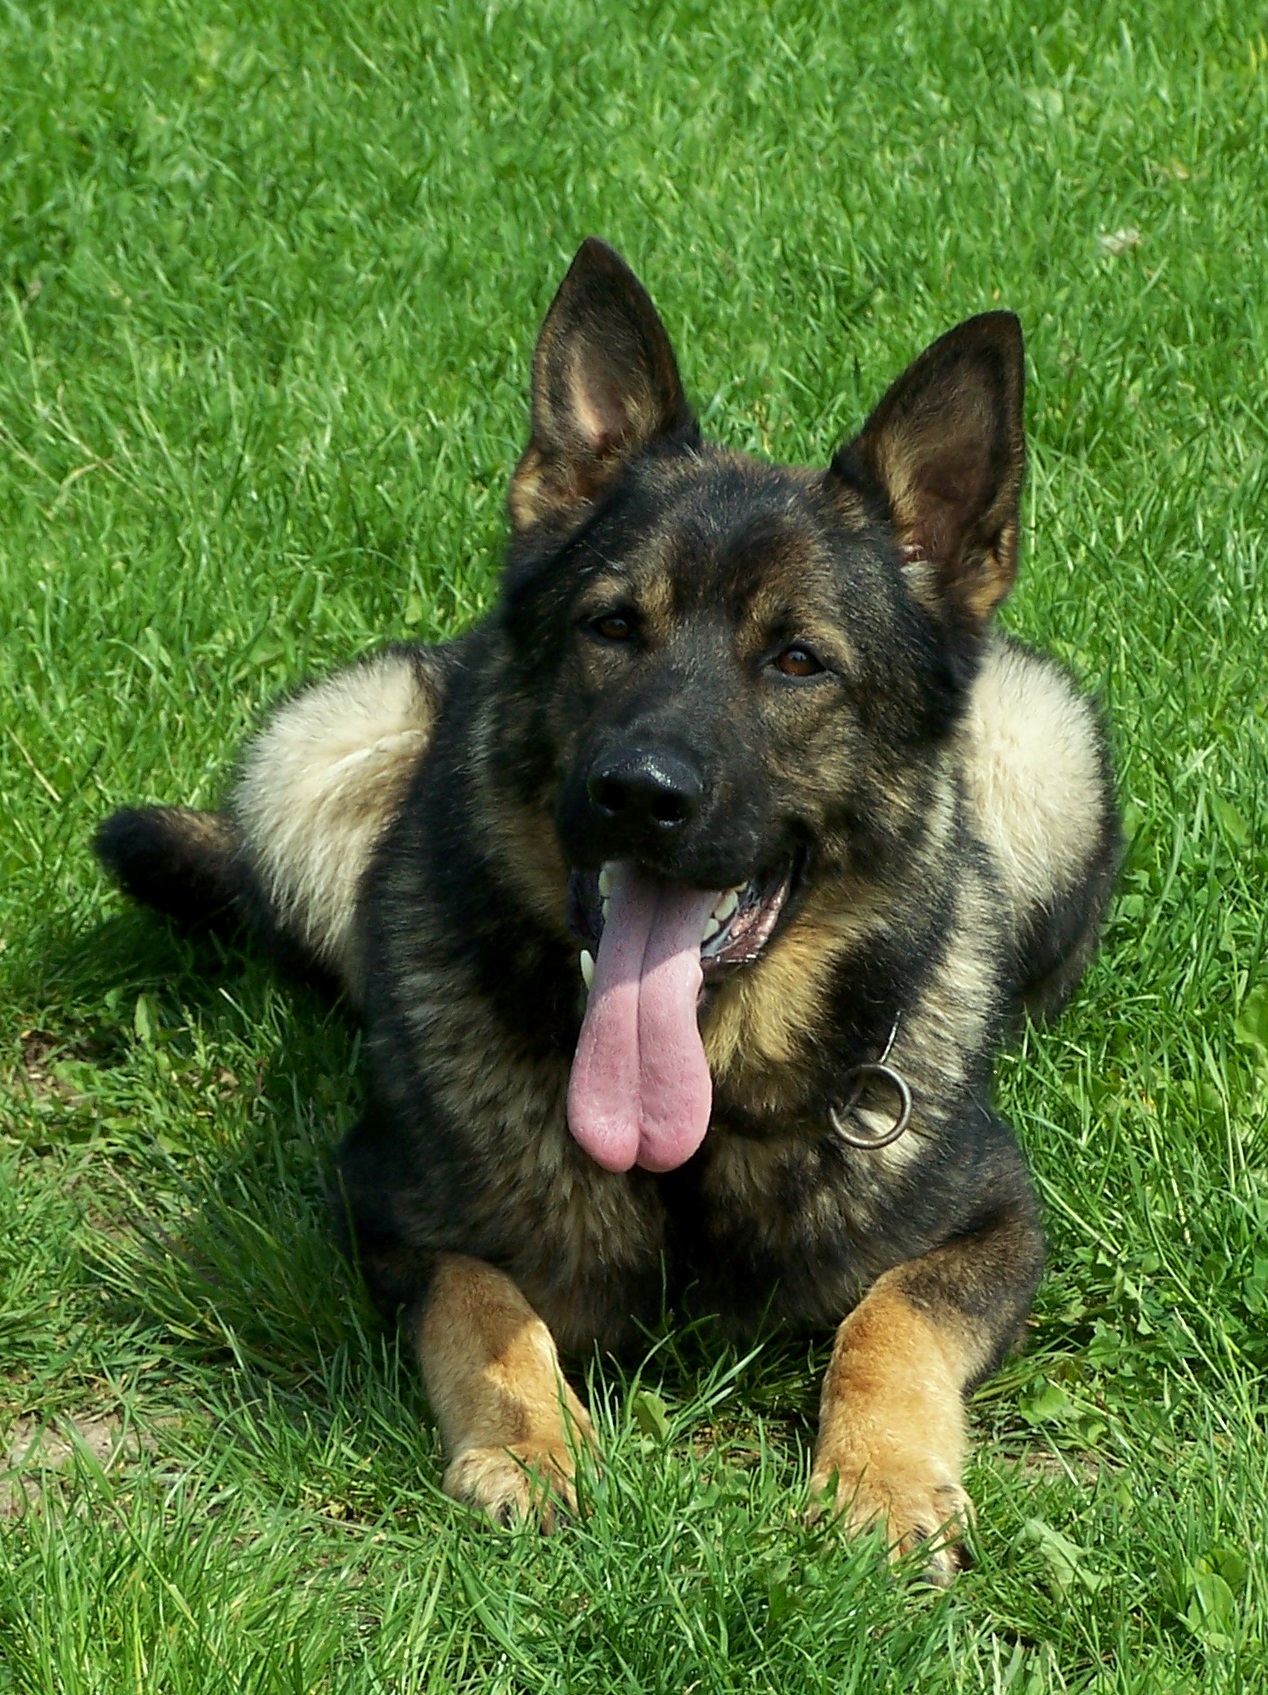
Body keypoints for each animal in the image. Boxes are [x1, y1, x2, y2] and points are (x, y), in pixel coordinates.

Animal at [97, 238, 1118, 1581]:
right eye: (612, 626)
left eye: (798, 661)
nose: (638, 794)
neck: (691, 1128)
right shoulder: (390, 1208)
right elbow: (485, 1303)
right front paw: (531, 1444)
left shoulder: (994, 1221)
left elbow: (889, 1318)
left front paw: (880, 1476)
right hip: (317, 750)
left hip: (1046, 749)